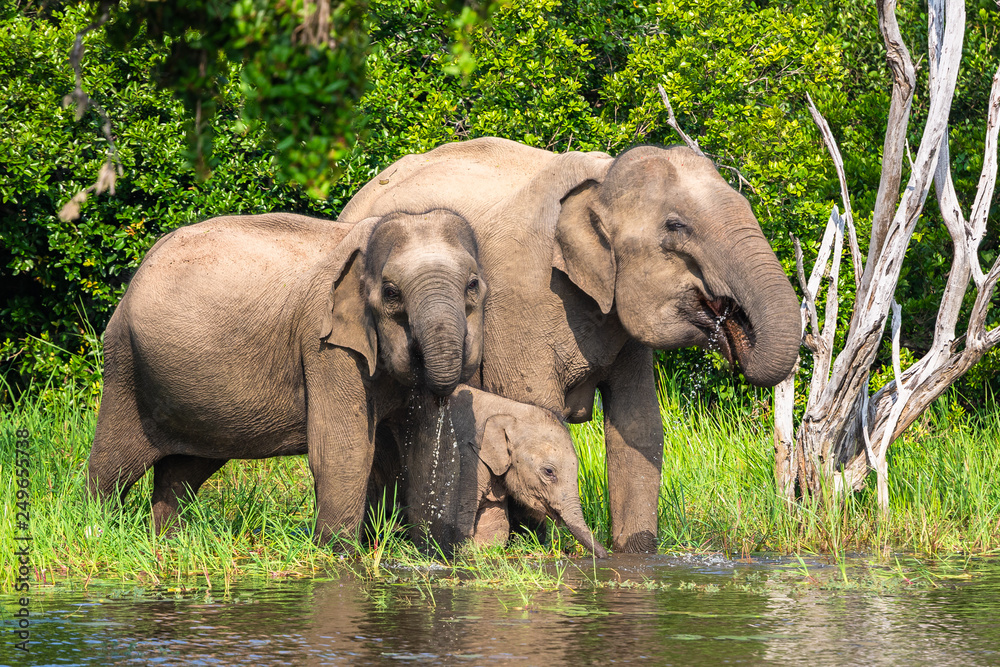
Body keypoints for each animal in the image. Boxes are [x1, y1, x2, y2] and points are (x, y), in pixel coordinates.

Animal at [88, 210, 486, 544]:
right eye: (391, 293)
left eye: (473, 286)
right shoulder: (323, 344)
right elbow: (343, 451)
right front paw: (338, 557)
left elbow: (427, 449)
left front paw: (430, 556)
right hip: (125, 363)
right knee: (112, 468)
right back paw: (100, 531)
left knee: (182, 473)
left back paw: (170, 542)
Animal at [394, 384, 604, 560]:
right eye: (549, 471)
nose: (606, 556)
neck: (509, 410)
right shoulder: (467, 460)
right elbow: (461, 522)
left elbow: (496, 526)